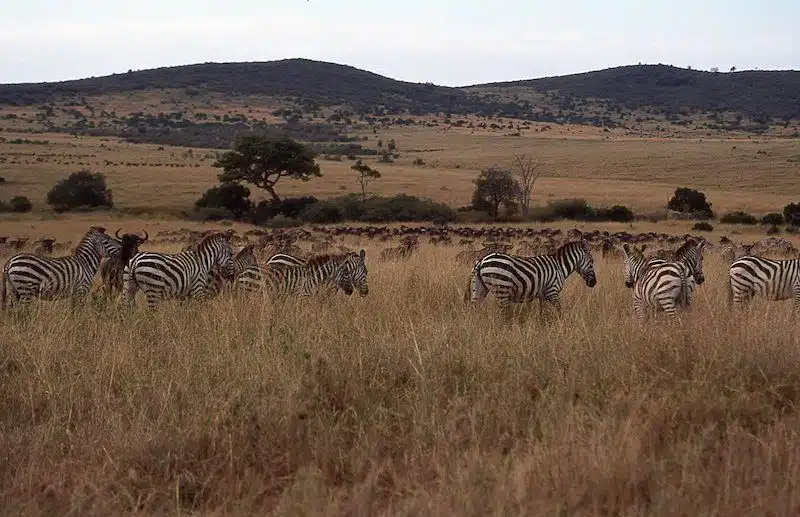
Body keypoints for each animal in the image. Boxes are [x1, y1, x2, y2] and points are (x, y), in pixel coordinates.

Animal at [466, 239, 596, 314]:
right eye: (592, 261)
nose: (593, 283)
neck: (560, 266)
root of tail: (481, 260)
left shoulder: (543, 295)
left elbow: (543, 312)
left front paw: (543, 326)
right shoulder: (552, 291)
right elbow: (559, 310)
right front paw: (560, 326)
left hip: (479, 288)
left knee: (474, 309)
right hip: (501, 288)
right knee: (503, 314)